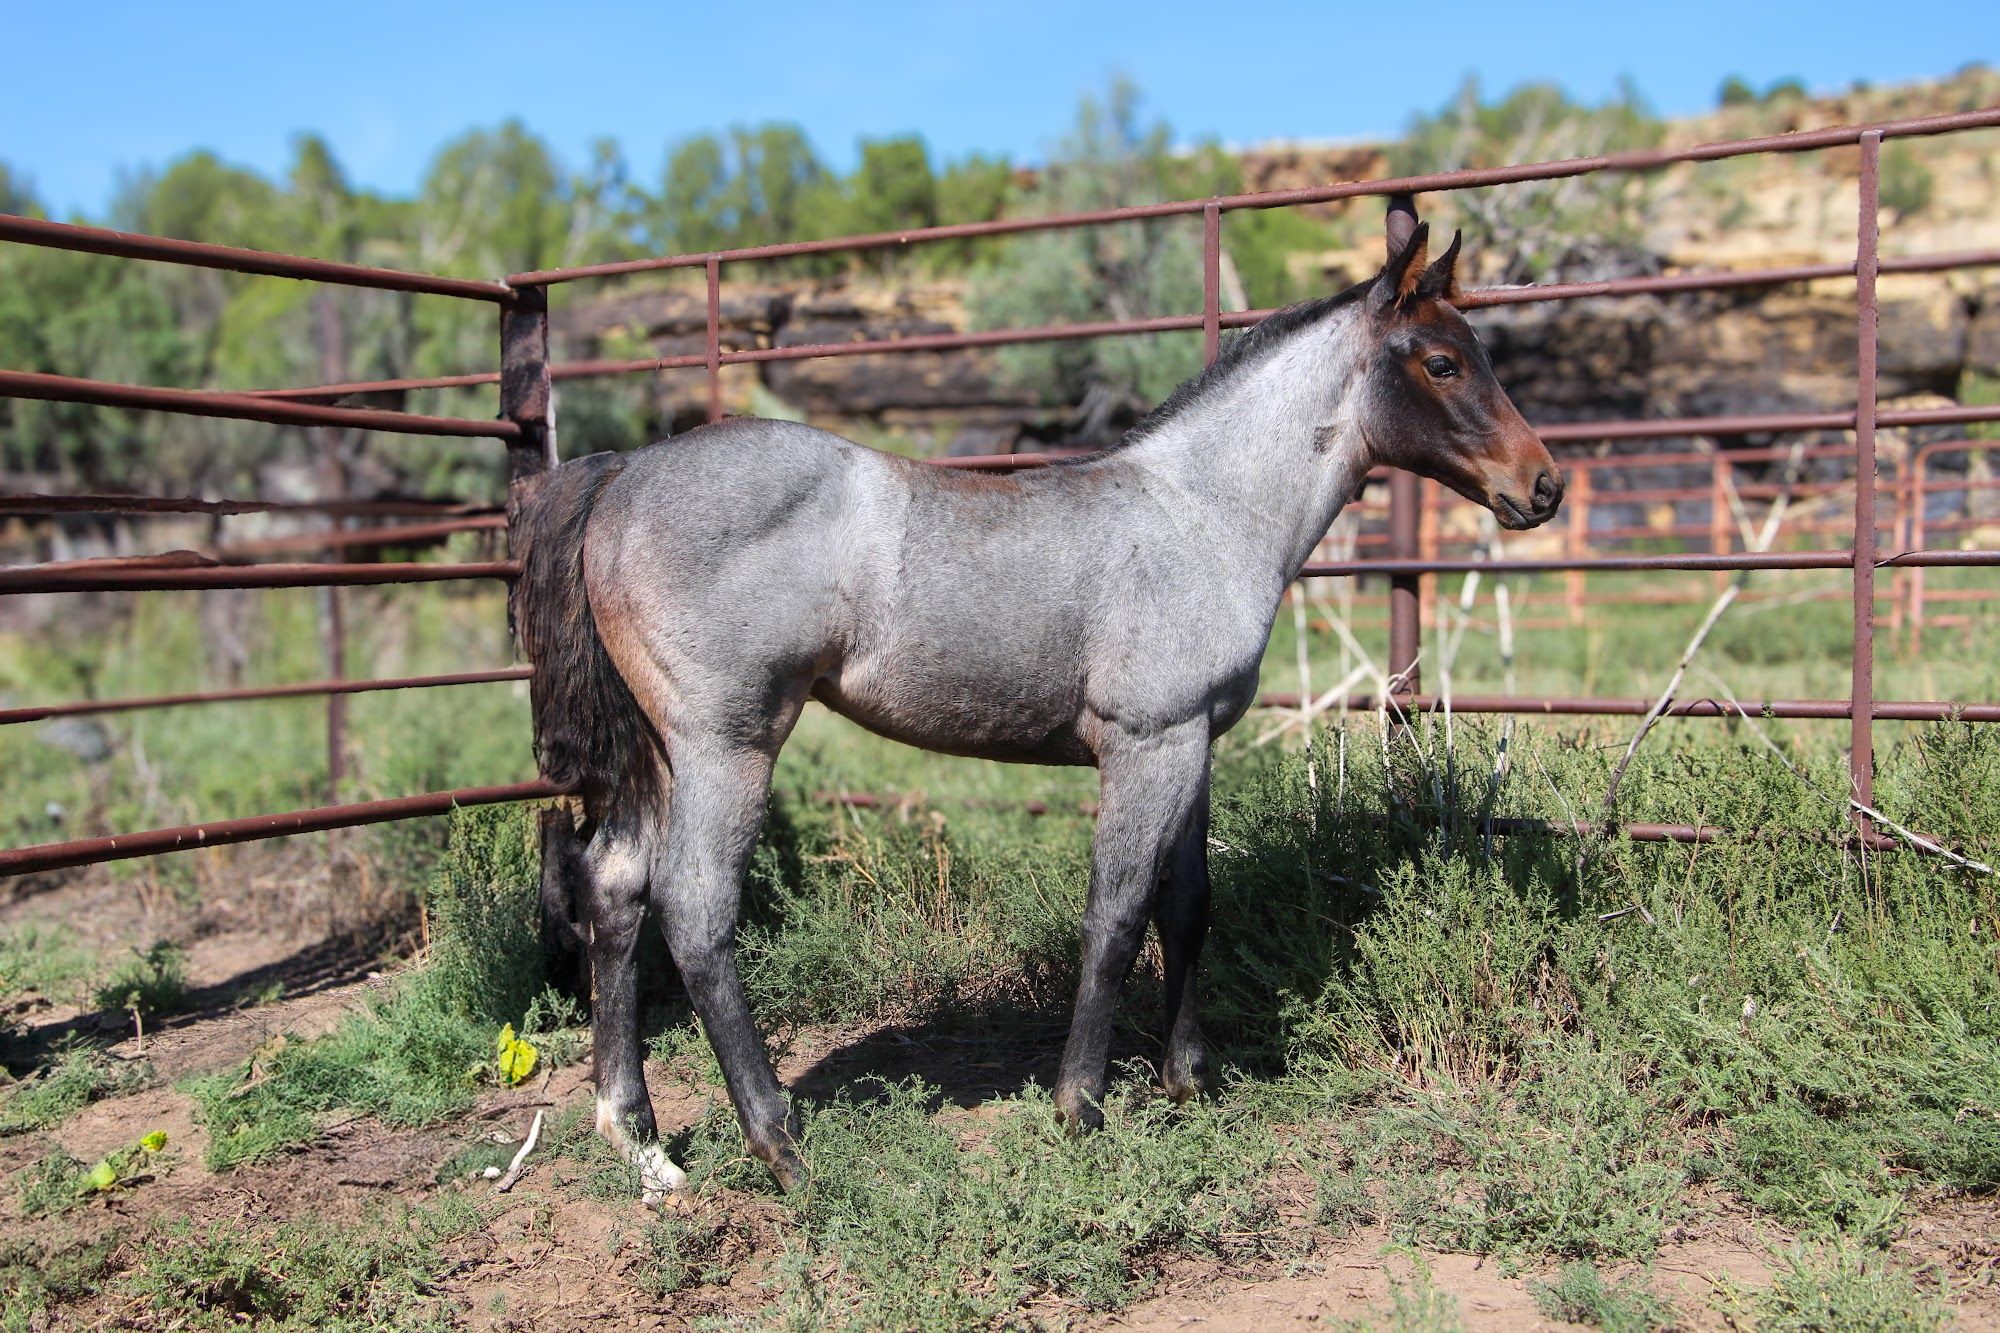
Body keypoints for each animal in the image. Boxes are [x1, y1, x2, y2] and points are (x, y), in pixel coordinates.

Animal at [509, 200, 1563, 1197]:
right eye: (1441, 361)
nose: (1543, 484)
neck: (1200, 515)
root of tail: (621, 473)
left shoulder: (1193, 742)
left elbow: (1188, 903)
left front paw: (1189, 1081)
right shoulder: (1146, 745)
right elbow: (1116, 917)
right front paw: (1081, 1106)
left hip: (657, 755)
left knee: (614, 886)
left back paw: (640, 1140)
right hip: (727, 745)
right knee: (695, 908)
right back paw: (782, 1149)